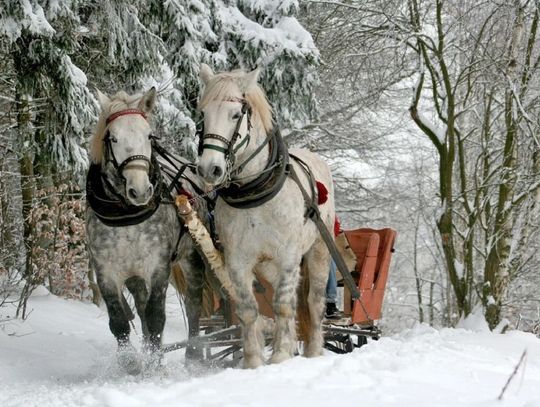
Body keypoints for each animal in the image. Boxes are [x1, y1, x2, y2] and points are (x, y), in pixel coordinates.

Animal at [87, 87, 208, 374]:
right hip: (134, 274)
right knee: (140, 307)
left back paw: (193, 354)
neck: (126, 216)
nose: (140, 190)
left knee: (193, 302)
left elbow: (156, 316)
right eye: (113, 138)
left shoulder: (158, 265)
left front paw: (155, 365)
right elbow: (119, 319)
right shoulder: (105, 270)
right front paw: (131, 361)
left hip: (191, 257)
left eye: (149, 136)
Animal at [196, 64, 336, 370]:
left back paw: (313, 350)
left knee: (313, 302)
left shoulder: (288, 257)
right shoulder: (238, 261)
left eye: (236, 114)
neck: (255, 190)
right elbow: (249, 309)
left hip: (319, 250)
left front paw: (281, 355)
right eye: (203, 115)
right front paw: (253, 361)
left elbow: (284, 305)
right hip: (268, 266)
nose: (209, 169)